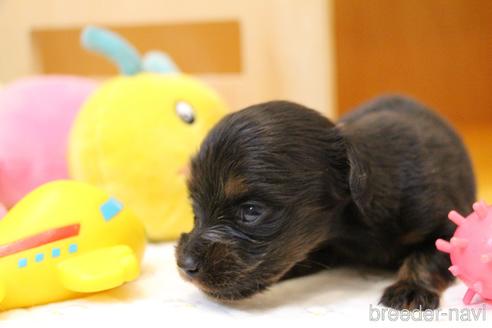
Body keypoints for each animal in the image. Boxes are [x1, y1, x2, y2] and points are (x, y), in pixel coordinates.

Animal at [176, 95, 476, 310]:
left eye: (251, 211)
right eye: (194, 209)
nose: (185, 265)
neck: (353, 226)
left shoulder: (446, 225)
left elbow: (426, 255)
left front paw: (410, 288)